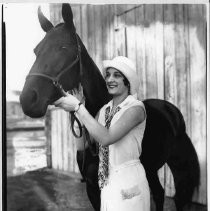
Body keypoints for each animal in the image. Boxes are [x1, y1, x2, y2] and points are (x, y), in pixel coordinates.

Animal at [19, 3, 200, 211]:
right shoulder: (91, 187)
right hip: (151, 169)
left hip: (178, 166)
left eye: (64, 47)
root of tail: (171, 110)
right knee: (160, 193)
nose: (28, 99)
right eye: (36, 50)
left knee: (178, 197)